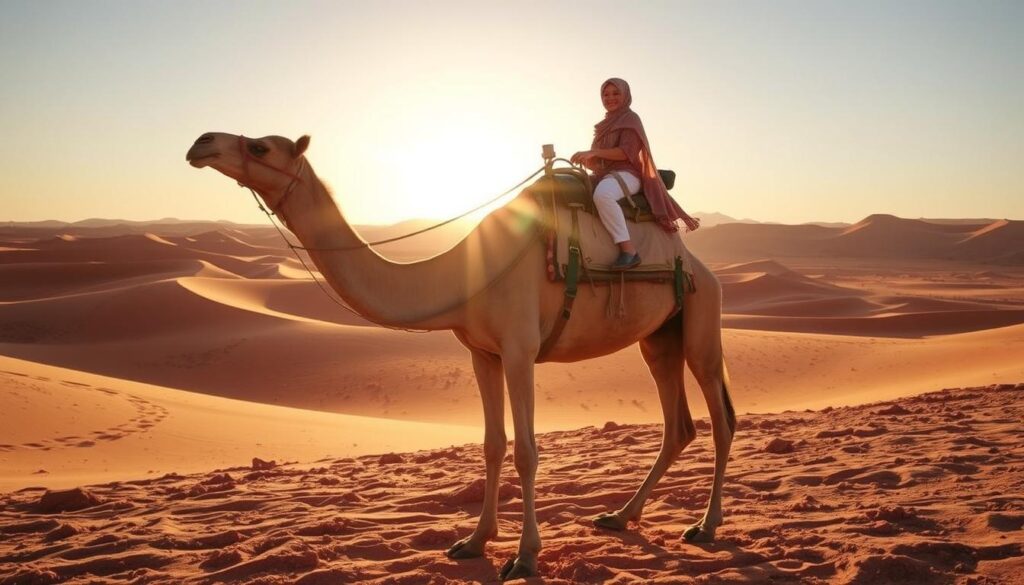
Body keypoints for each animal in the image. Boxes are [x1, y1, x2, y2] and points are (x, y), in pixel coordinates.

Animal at [185, 132, 737, 581]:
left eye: (260, 147)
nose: (201, 143)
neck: (462, 272)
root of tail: (698, 261)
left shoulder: (519, 349)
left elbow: (527, 451)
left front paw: (525, 557)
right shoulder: (482, 354)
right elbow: (492, 444)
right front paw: (473, 542)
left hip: (701, 321)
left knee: (720, 418)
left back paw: (705, 526)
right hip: (658, 337)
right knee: (678, 424)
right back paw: (620, 516)